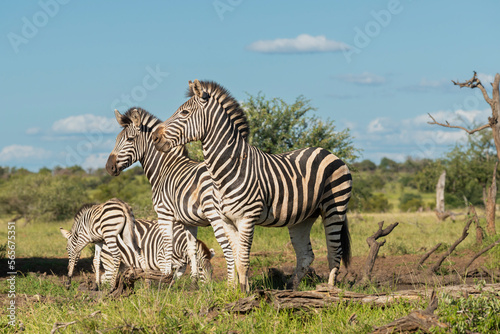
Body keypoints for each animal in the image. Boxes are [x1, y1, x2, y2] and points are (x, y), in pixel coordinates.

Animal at [105, 106, 246, 282]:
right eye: (117, 139)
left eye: (130, 139)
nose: (108, 167)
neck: (164, 168)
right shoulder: (189, 221)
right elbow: (192, 250)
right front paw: (193, 281)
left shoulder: (163, 213)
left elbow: (167, 245)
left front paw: (164, 277)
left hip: (217, 216)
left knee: (228, 247)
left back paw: (231, 284)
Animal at [152, 79, 352, 290]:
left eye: (184, 113)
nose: (155, 137)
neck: (229, 168)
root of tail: (328, 152)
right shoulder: (227, 219)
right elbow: (234, 256)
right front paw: (236, 290)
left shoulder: (247, 218)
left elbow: (242, 260)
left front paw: (244, 291)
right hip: (303, 217)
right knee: (306, 255)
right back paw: (291, 288)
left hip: (334, 207)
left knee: (334, 252)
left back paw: (329, 290)